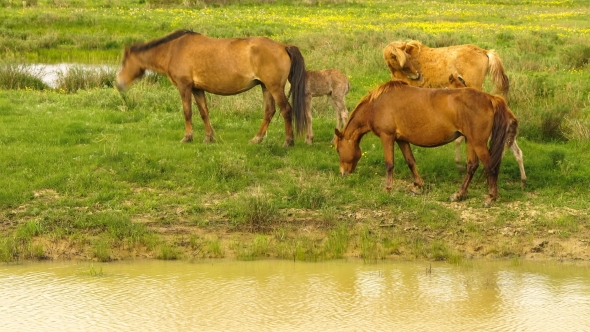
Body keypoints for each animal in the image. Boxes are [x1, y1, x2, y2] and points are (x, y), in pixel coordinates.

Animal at [117, 29, 310, 147]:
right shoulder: (197, 89)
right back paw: (256, 139)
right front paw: (209, 137)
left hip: (274, 87)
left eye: (125, 61)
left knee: (286, 110)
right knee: (269, 112)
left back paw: (288, 141)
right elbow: (204, 112)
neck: (174, 50)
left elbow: (187, 112)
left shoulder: (184, 87)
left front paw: (187, 137)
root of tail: (284, 46)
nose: (118, 83)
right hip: (266, 87)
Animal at [336, 80, 520, 208]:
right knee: (472, 166)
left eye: (338, 150)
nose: (343, 173)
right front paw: (418, 185)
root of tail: (490, 98)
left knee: (490, 166)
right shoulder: (402, 139)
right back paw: (458, 195)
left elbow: (389, 164)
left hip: (478, 143)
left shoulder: (387, 136)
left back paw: (490, 197)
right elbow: (410, 161)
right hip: (470, 141)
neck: (376, 105)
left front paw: (388, 189)